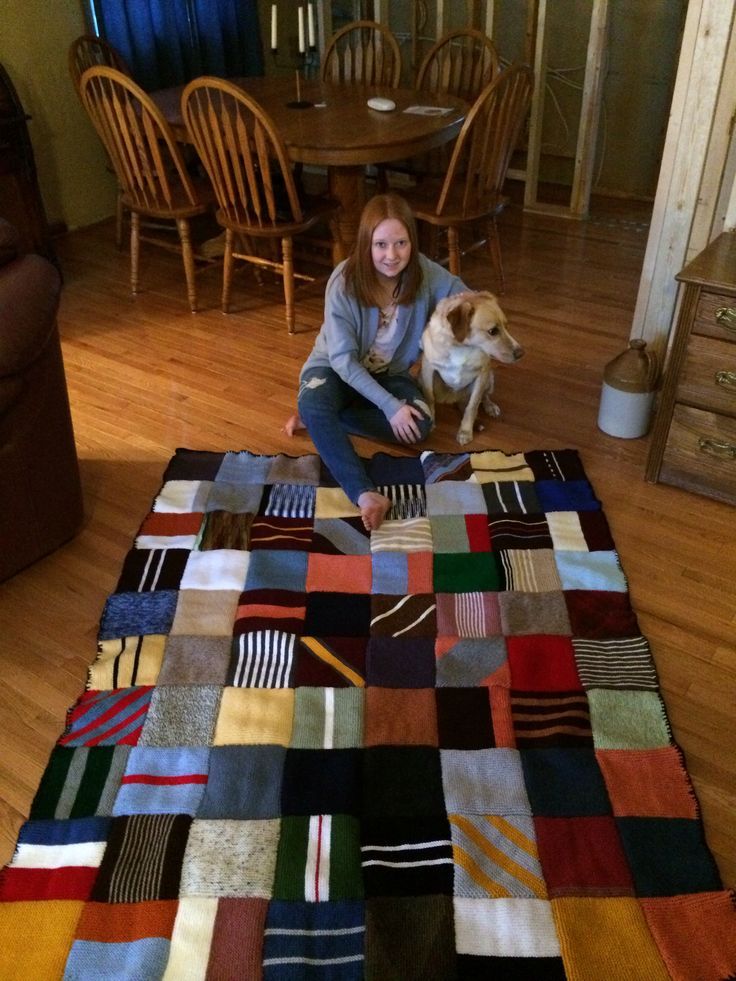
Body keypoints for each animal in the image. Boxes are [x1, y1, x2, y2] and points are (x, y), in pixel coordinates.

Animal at [420, 290, 524, 444]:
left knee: (482, 397)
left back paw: (490, 407)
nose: (521, 353)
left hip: (490, 379)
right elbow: (429, 397)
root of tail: (454, 398)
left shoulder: (482, 373)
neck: (462, 346)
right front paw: (431, 421)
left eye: (507, 326)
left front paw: (465, 431)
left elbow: (473, 405)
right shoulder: (428, 368)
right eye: (493, 331)